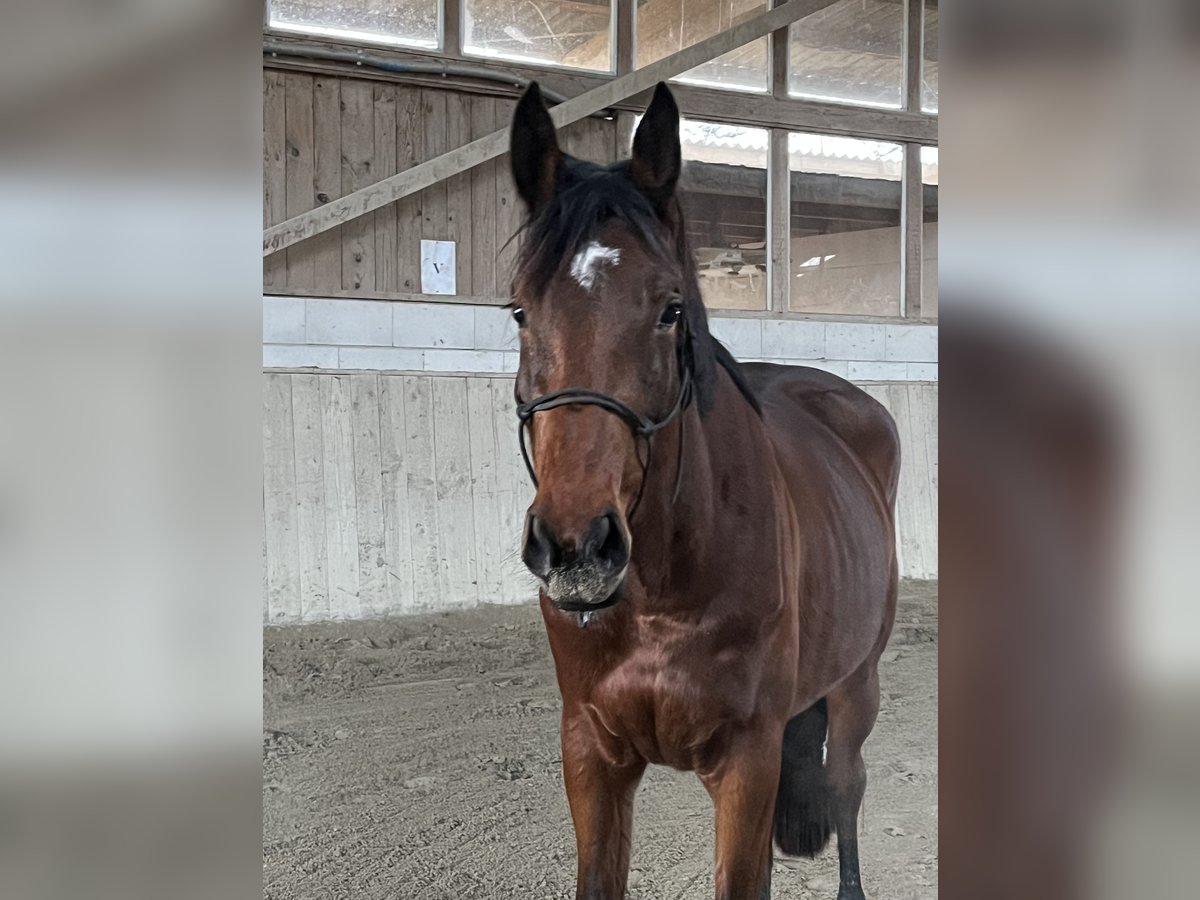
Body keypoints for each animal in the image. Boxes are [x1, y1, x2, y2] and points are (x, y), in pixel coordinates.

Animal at [508, 82, 902, 900]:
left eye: (670, 309)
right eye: (520, 309)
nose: (577, 548)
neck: (663, 583)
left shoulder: (748, 760)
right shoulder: (590, 755)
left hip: (858, 683)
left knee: (846, 785)